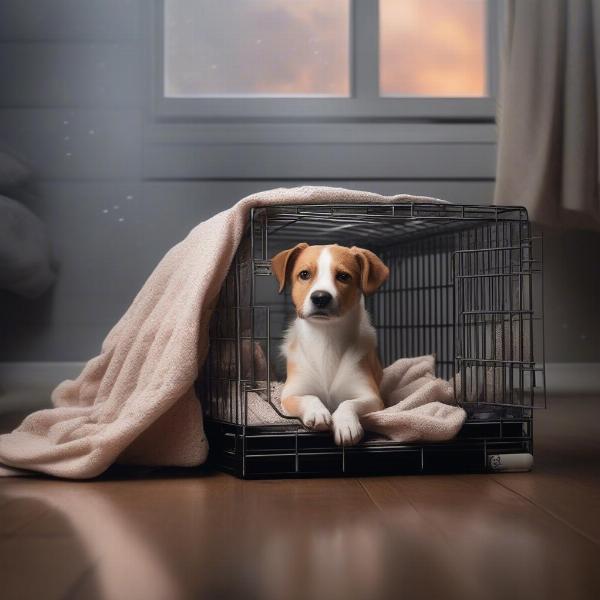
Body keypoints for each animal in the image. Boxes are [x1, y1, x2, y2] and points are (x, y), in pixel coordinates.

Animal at [270, 244, 390, 446]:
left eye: (343, 276)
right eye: (304, 274)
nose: (320, 297)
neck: (325, 338)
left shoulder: (372, 397)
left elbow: (348, 402)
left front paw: (346, 424)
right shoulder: (290, 394)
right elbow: (309, 397)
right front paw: (317, 412)